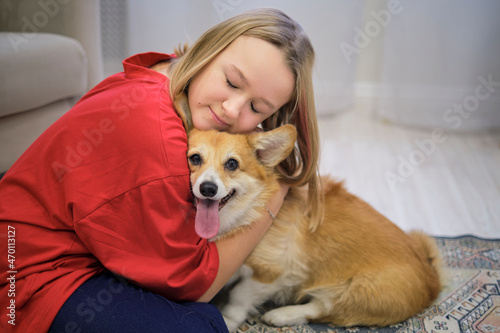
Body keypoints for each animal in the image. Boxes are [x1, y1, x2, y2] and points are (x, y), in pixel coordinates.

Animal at [187, 124, 442, 330]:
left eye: (232, 164)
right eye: (195, 158)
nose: (208, 188)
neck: (247, 213)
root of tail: (433, 278)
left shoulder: (274, 273)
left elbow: (239, 296)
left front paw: (228, 319)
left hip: (360, 290)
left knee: (325, 308)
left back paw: (280, 315)